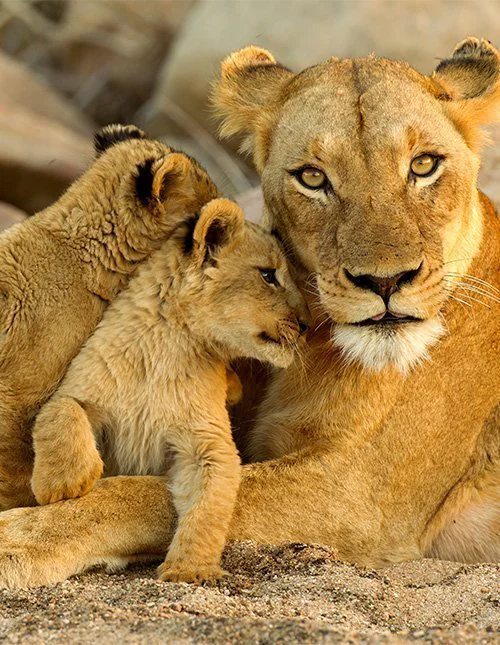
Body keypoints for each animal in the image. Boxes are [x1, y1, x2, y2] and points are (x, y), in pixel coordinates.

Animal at [30, 197, 308, 583]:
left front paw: (190, 569)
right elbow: (58, 413)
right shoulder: (78, 386)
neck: (169, 344)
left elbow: (208, 508)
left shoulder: (207, 441)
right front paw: (63, 484)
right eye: (268, 275)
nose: (307, 325)